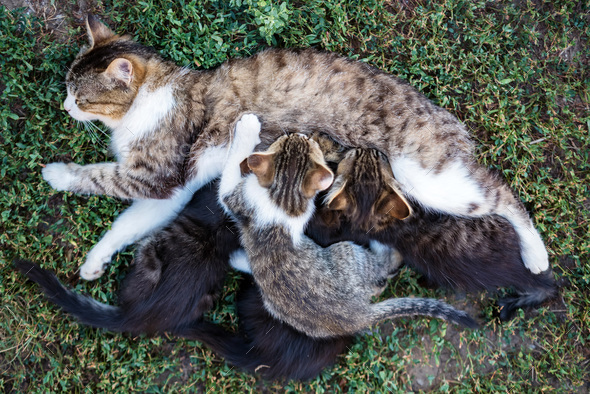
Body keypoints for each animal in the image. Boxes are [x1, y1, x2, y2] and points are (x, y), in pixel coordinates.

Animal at [42, 15, 552, 280]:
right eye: (67, 86)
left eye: (79, 95)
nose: (63, 106)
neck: (151, 98)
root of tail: (440, 114)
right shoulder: (170, 191)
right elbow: (127, 225)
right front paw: (96, 260)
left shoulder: (155, 174)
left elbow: (98, 176)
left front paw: (56, 173)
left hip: (435, 178)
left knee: (503, 194)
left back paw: (536, 255)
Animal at [215, 112, 478, 338]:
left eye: (296, 139)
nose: (300, 134)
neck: (283, 197)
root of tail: (357, 316)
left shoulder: (236, 199)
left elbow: (228, 175)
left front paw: (247, 127)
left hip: (346, 251)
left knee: (385, 269)